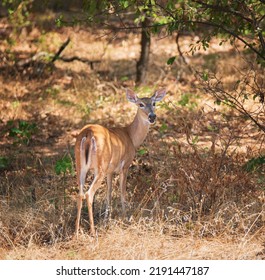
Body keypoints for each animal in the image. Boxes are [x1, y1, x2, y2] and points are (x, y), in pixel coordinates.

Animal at [73, 88, 165, 236]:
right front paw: (125, 217)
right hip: (100, 166)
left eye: (154, 103)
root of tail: (88, 134)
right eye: (140, 104)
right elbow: (122, 192)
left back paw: (76, 231)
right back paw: (93, 231)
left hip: (80, 166)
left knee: (80, 193)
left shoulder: (110, 171)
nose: (152, 116)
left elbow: (109, 193)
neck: (131, 137)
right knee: (89, 194)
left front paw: (107, 218)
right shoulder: (125, 165)